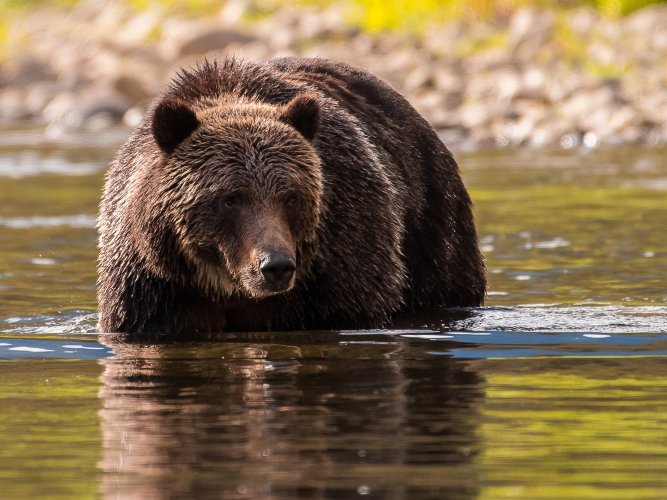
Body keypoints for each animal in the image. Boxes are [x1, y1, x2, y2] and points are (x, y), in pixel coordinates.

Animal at [98, 56, 486, 334]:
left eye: (291, 197)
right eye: (230, 198)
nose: (277, 266)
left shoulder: (338, 269)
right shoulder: (152, 289)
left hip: (432, 231)